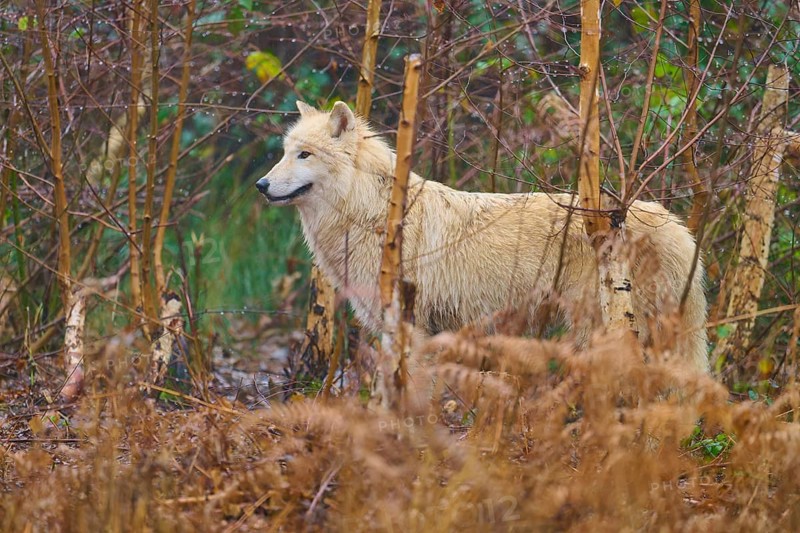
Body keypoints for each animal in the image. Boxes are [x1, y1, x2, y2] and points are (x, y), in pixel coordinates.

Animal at [256, 101, 708, 371]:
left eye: (305, 155)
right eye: (285, 152)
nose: (261, 185)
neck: (371, 215)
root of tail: (675, 225)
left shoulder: (410, 326)